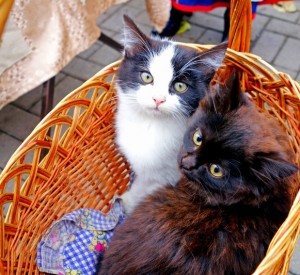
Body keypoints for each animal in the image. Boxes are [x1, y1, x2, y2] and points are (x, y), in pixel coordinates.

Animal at [115, 15, 227, 215]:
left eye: (180, 86)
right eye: (146, 77)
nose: (158, 99)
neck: (152, 124)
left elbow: (152, 185)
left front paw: (131, 204)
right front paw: (128, 197)